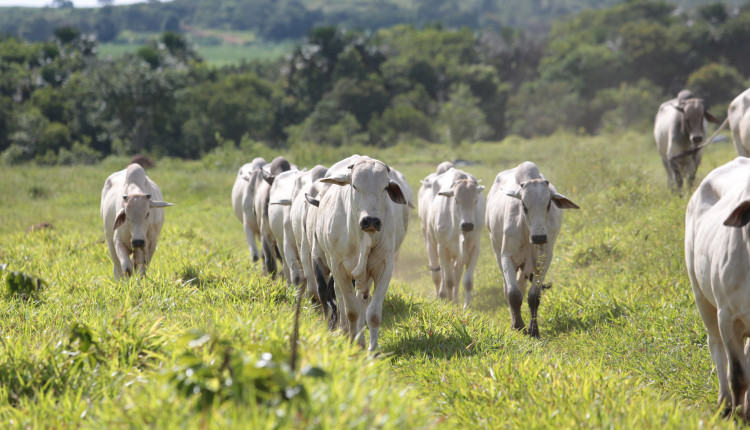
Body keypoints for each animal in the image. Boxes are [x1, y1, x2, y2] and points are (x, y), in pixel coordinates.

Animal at [316, 156, 414, 352]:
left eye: (385, 187)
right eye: (355, 186)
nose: (371, 221)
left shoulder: (384, 267)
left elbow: (373, 313)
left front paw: (372, 350)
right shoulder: (339, 268)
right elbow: (351, 311)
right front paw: (351, 343)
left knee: (362, 299)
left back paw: (360, 340)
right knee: (341, 297)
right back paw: (346, 332)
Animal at [424, 166, 488, 308]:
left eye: (475, 200)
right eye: (456, 200)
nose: (468, 225)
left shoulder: (474, 249)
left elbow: (467, 281)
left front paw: (466, 306)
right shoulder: (443, 249)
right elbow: (448, 280)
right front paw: (449, 304)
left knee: (457, 274)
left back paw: (455, 298)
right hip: (432, 243)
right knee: (440, 274)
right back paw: (442, 295)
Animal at [488, 162, 580, 340]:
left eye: (549, 204)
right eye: (524, 205)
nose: (539, 237)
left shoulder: (544, 259)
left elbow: (533, 297)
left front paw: (533, 330)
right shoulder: (506, 256)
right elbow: (513, 294)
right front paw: (518, 326)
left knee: (522, 286)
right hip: (496, 249)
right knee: (508, 289)